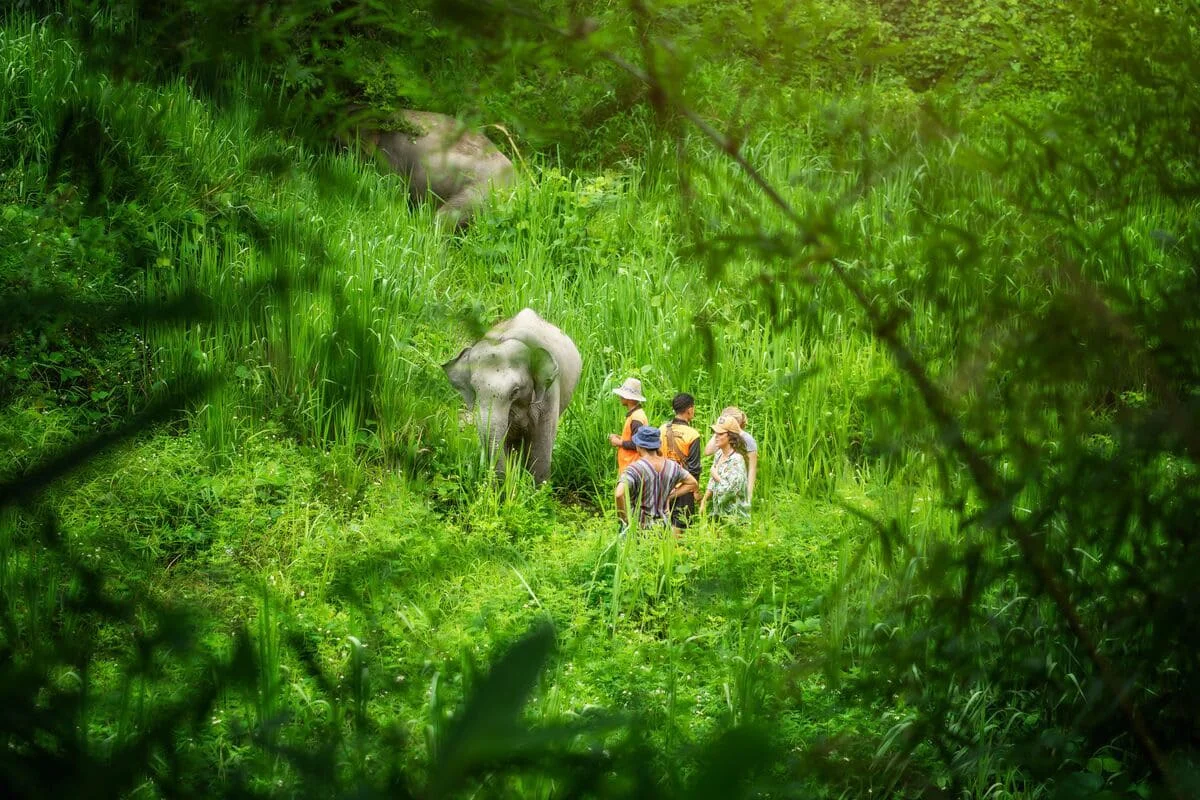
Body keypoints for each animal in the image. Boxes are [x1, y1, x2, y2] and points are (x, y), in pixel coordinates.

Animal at [443, 309, 582, 484]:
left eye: (515, 391)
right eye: (474, 388)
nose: (499, 484)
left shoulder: (549, 393)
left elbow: (540, 444)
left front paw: (539, 488)